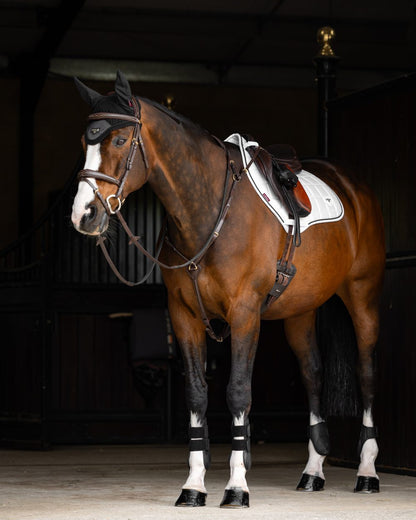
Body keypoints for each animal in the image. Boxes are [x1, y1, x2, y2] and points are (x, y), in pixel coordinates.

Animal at [72, 71, 386, 506]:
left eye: (118, 141)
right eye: (85, 142)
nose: (84, 214)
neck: (208, 213)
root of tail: (355, 187)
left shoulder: (245, 313)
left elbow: (238, 392)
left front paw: (237, 486)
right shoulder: (184, 315)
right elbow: (197, 395)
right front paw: (193, 486)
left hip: (362, 297)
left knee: (367, 374)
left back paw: (367, 472)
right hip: (300, 312)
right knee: (313, 374)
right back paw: (312, 471)